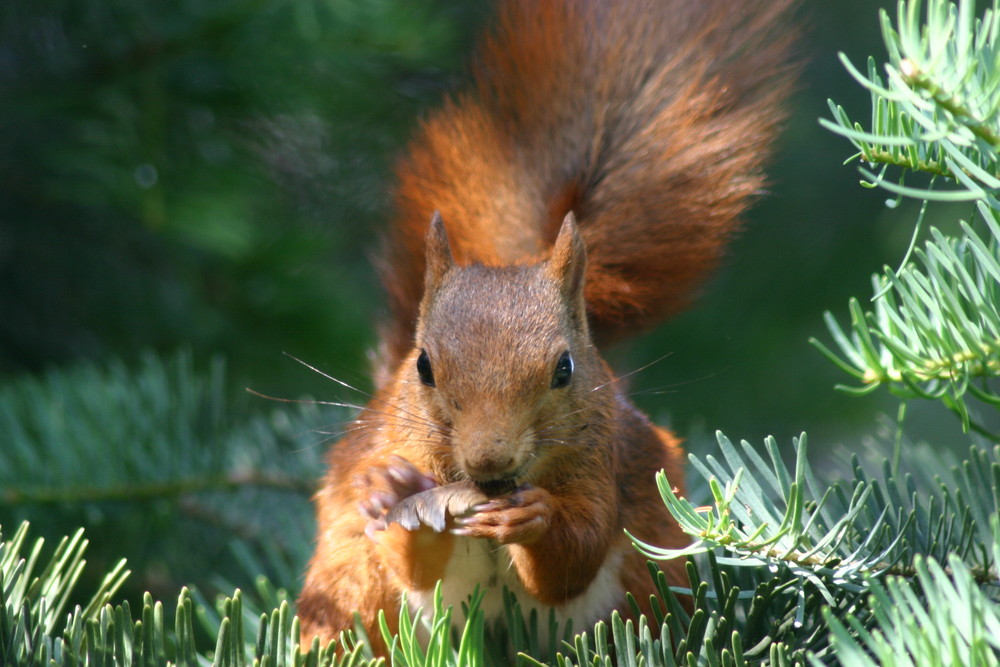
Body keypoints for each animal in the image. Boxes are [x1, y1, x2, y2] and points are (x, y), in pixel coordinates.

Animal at [296, 0, 796, 656]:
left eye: (565, 369)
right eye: (423, 366)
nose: (489, 461)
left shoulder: (600, 464)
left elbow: (574, 556)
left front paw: (534, 520)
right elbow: (415, 564)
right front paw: (394, 494)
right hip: (345, 586)